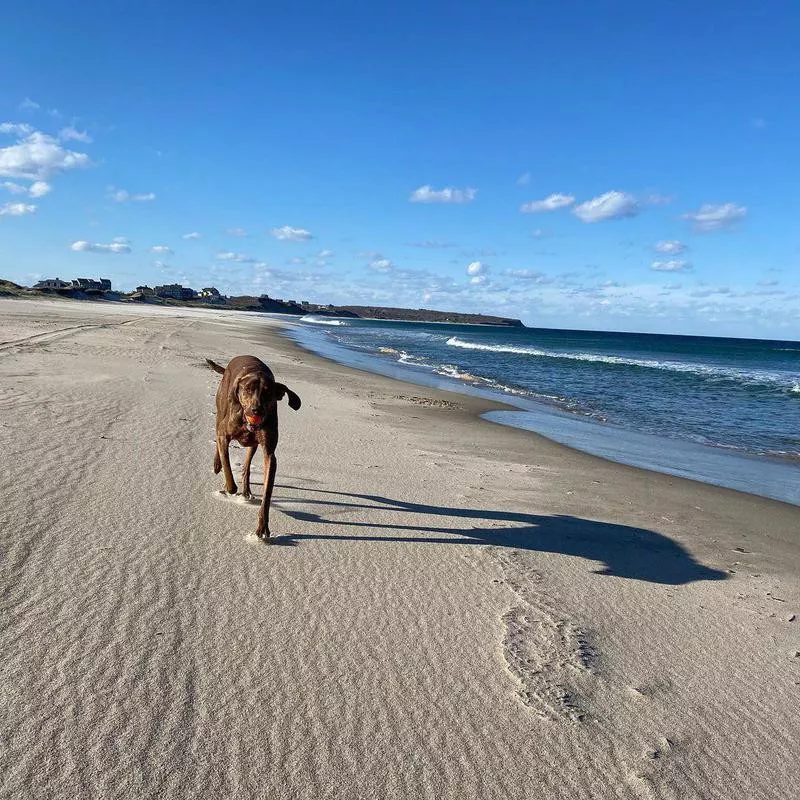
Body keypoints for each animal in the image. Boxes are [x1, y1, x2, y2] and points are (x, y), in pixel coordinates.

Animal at [208, 356, 302, 536]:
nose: (255, 410)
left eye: (267, 393)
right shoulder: (224, 433)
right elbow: (227, 466)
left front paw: (263, 526)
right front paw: (229, 486)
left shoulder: (269, 454)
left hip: (253, 445)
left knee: (247, 466)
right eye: (247, 389)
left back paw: (246, 490)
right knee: (218, 438)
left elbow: (267, 493)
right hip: (220, 410)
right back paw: (217, 464)